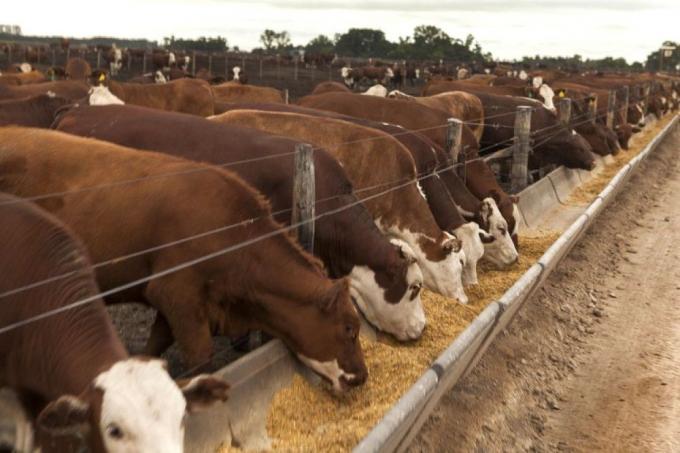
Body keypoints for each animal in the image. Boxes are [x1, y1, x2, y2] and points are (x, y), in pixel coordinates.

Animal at [0, 127, 366, 392]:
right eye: (349, 328)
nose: (361, 377)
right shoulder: (178, 295)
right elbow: (199, 358)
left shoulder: (172, 301)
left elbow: (156, 342)